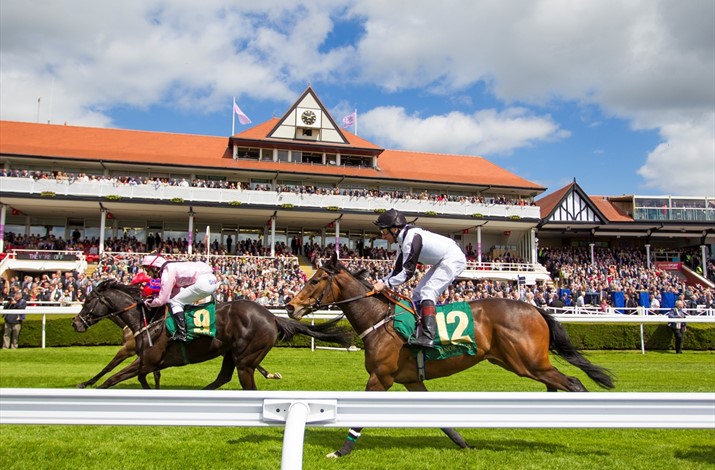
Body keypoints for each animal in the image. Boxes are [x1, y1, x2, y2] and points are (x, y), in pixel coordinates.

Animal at [72, 280, 352, 390]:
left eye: (87, 301)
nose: (75, 323)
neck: (148, 321)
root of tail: (272, 316)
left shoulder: (147, 359)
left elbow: (112, 376)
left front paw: (88, 385)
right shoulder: (147, 361)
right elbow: (136, 377)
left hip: (245, 359)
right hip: (231, 353)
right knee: (223, 377)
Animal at [286, 255, 616, 458]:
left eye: (314, 281)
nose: (290, 306)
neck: (380, 319)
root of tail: (534, 308)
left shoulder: (380, 378)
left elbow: (359, 416)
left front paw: (340, 451)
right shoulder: (410, 381)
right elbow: (440, 419)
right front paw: (464, 443)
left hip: (529, 364)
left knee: (573, 383)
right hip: (522, 363)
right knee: (560, 385)